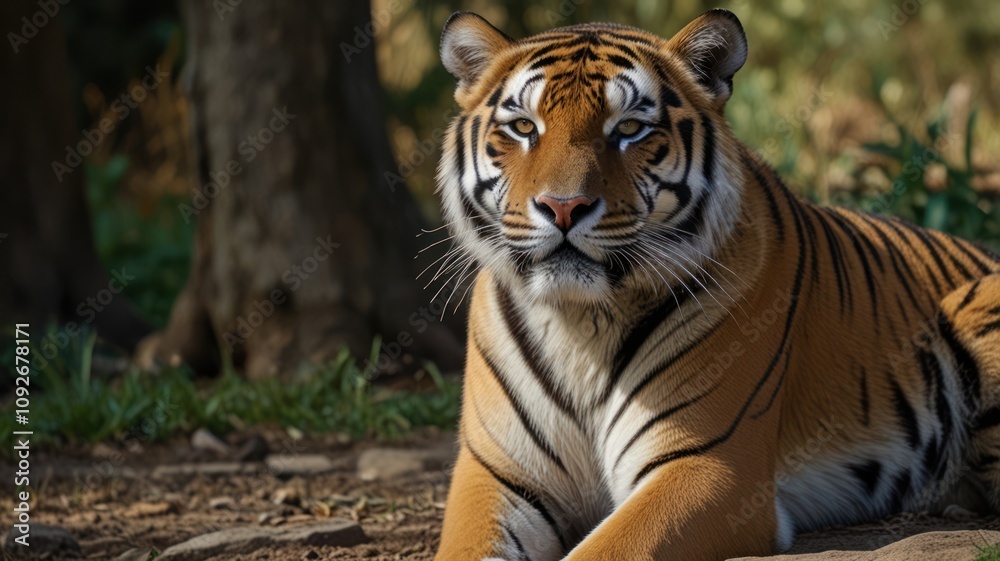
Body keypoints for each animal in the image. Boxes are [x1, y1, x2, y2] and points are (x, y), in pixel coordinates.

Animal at [431, 8, 1000, 561]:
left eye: (630, 128)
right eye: (523, 126)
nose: (563, 206)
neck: (581, 319)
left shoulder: (708, 465)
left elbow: (606, 550)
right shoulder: (495, 474)